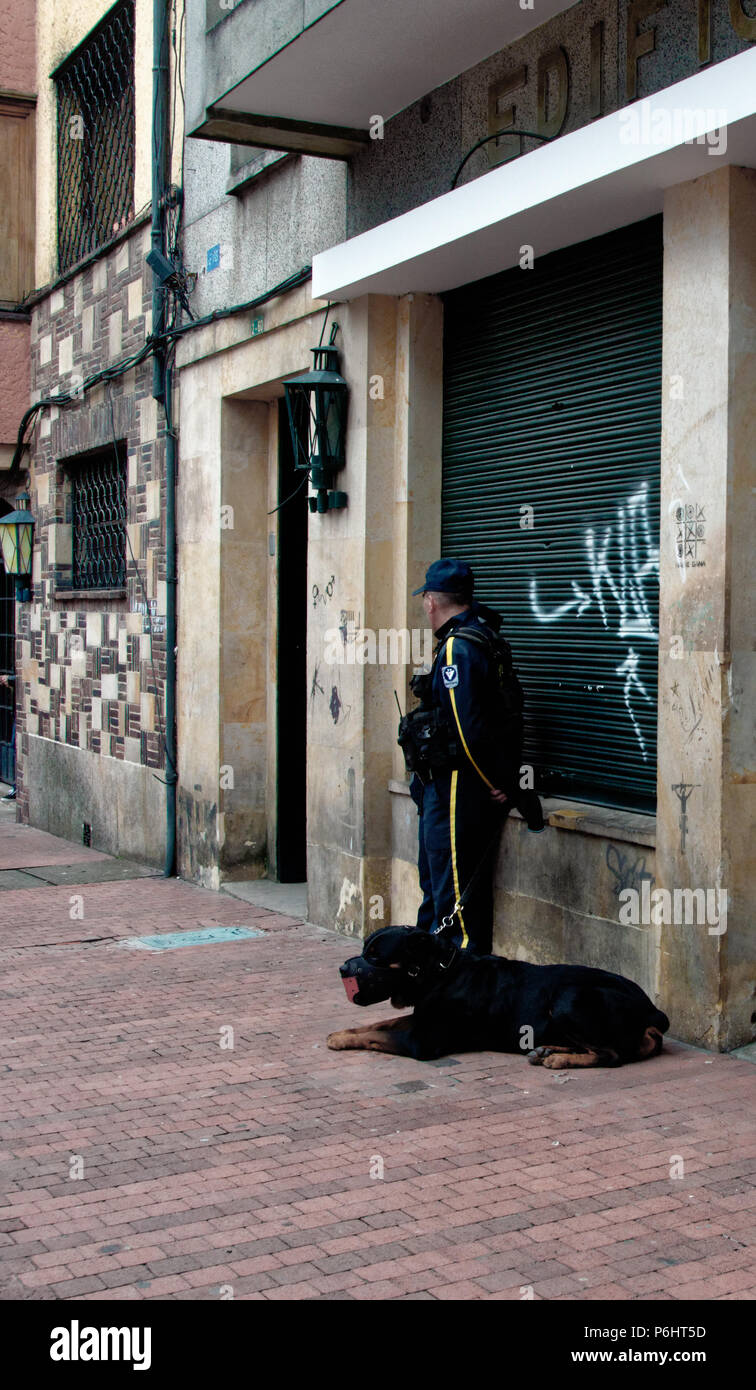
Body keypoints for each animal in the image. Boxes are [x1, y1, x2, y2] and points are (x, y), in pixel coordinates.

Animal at [327, 928, 669, 1067]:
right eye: (364, 949)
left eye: (375, 956)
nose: (343, 968)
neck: (439, 972)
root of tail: (652, 1010)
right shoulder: (418, 1018)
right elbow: (380, 1024)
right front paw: (341, 1033)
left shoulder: (420, 1041)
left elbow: (376, 1035)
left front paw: (344, 1040)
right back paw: (547, 1050)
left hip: (568, 997)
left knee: (611, 1054)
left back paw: (559, 1059)